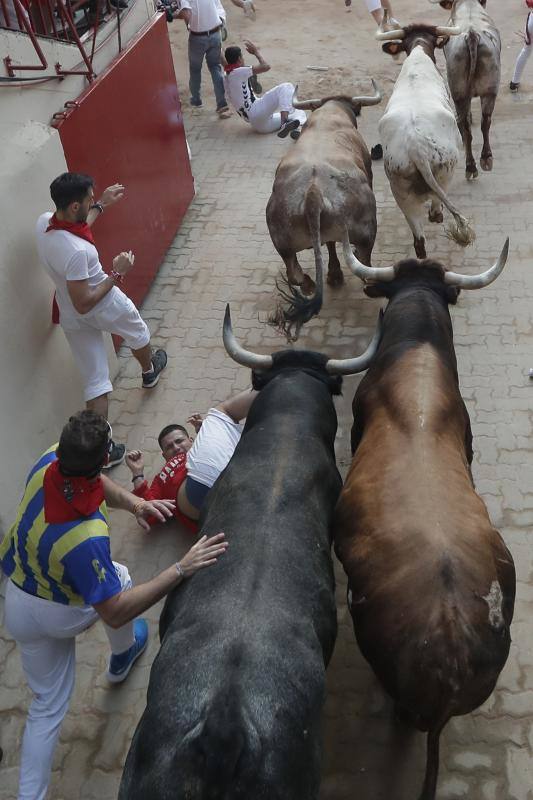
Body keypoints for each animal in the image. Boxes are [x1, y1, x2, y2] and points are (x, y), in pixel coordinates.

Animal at [266, 83, 382, 340]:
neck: (330, 115)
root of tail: (313, 194)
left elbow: (328, 244)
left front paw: (333, 273)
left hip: (282, 241)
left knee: (294, 272)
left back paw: (311, 284)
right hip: (367, 230)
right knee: (364, 263)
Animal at [374, 20, 474, 260]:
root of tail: (416, 147)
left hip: (399, 190)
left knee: (419, 242)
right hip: (445, 173)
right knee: (436, 208)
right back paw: (437, 215)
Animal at [430, 1, 500, 180]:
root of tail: (472, 35)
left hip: (460, 94)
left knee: (467, 127)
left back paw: (471, 166)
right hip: (489, 91)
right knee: (485, 122)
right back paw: (485, 159)